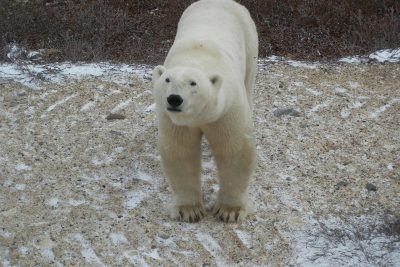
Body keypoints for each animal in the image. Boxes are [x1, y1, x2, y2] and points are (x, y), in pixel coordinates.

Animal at [152, 0, 258, 223]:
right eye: (167, 80)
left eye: (193, 83)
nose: (174, 99)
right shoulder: (175, 121)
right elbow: (181, 151)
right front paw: (189, 210)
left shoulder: (226, 109)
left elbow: (234, 150)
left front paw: (229, 211)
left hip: (250, 41)